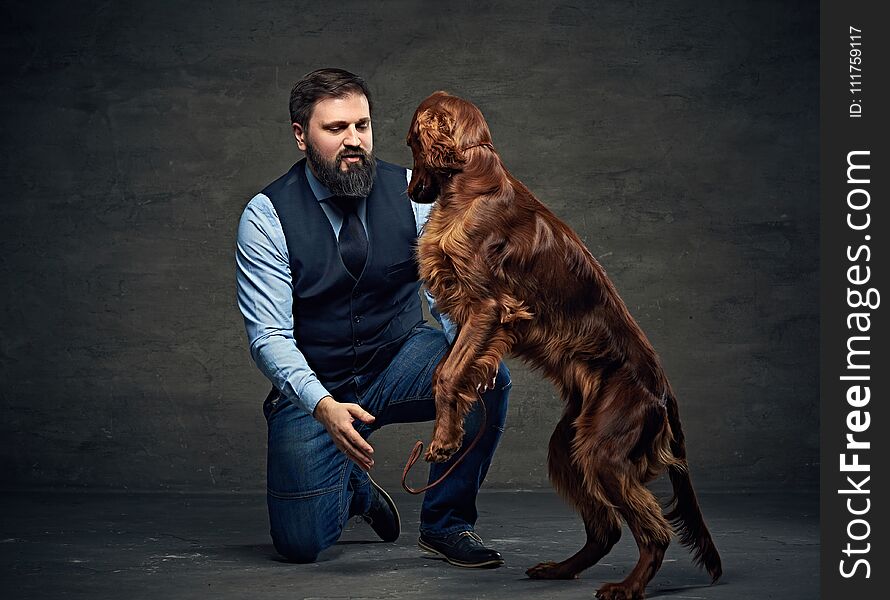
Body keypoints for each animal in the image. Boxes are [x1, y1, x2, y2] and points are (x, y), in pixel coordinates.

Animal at [406, 91, 720, 596]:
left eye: (411, 141)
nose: (412, 192)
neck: (472, 179)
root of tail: (663, 392)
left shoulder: (488, 305)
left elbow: (448, 373)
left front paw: (444, 440)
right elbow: (449, 369)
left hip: (604, 451)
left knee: (653, 530)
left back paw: (627, 587)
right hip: (569, 445)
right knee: (606, 529)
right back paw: (559, 569)